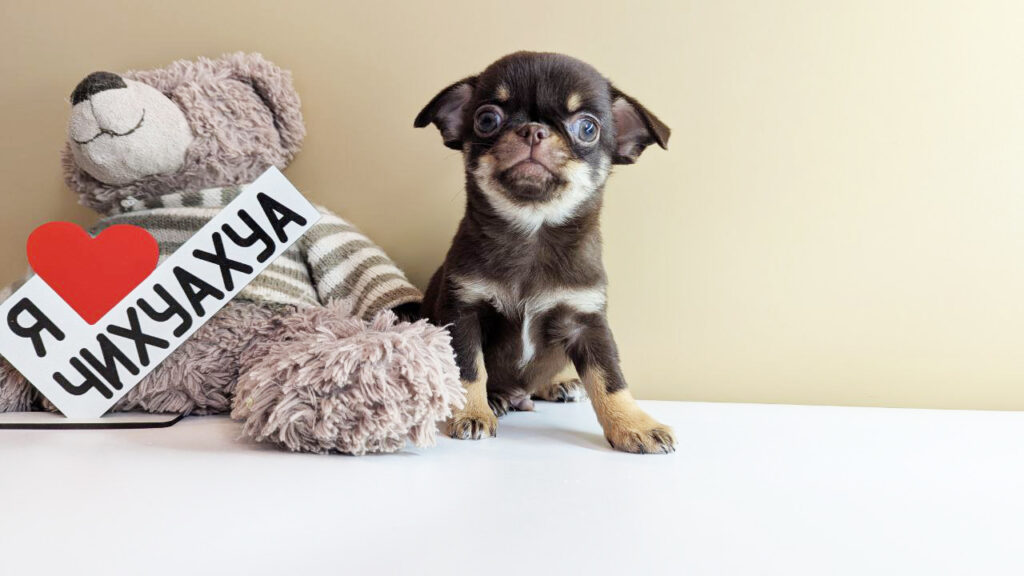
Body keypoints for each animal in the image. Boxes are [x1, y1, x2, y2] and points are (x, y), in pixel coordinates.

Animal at [415, 52, 675, 454]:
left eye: (588, 128)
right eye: (487, 119)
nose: (533, 130)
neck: (534, 230)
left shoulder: (588, 325)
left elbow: (611, 379)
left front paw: (633, 424)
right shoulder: (462, 313)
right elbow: (469, 368)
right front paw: (472, 412)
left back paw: (558, 384)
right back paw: (496, 399)